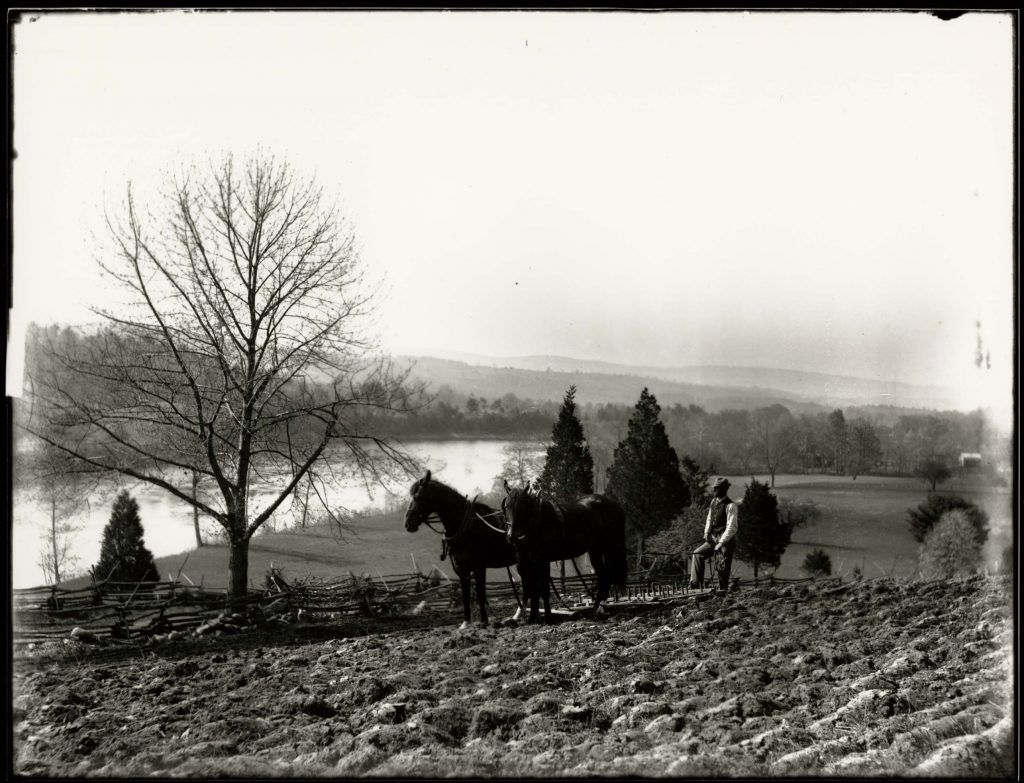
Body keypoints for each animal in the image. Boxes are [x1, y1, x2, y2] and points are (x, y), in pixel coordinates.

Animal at [401, 470, 540, 630]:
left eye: (419, 496)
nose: (408, 524)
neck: (467, 526)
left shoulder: (479, 567)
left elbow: (480, 594)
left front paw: (484, 621)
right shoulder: (462, 569)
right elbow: (465, 594)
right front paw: (466, 623)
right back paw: (519, 615)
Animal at [501, 479, 626, 618]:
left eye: (522, 507)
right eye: (506, 507)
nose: (511, 536)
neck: (537, 522)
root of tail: (615, 506)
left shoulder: (543, 560)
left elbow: (543, 589)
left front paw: (548, 616)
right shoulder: (528, 561)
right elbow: (532, 589)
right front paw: (533, 617)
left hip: (610, 547)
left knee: (608, 574)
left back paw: (600, 607)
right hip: (595, 550)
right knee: (603, 575)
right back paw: (596, 607)